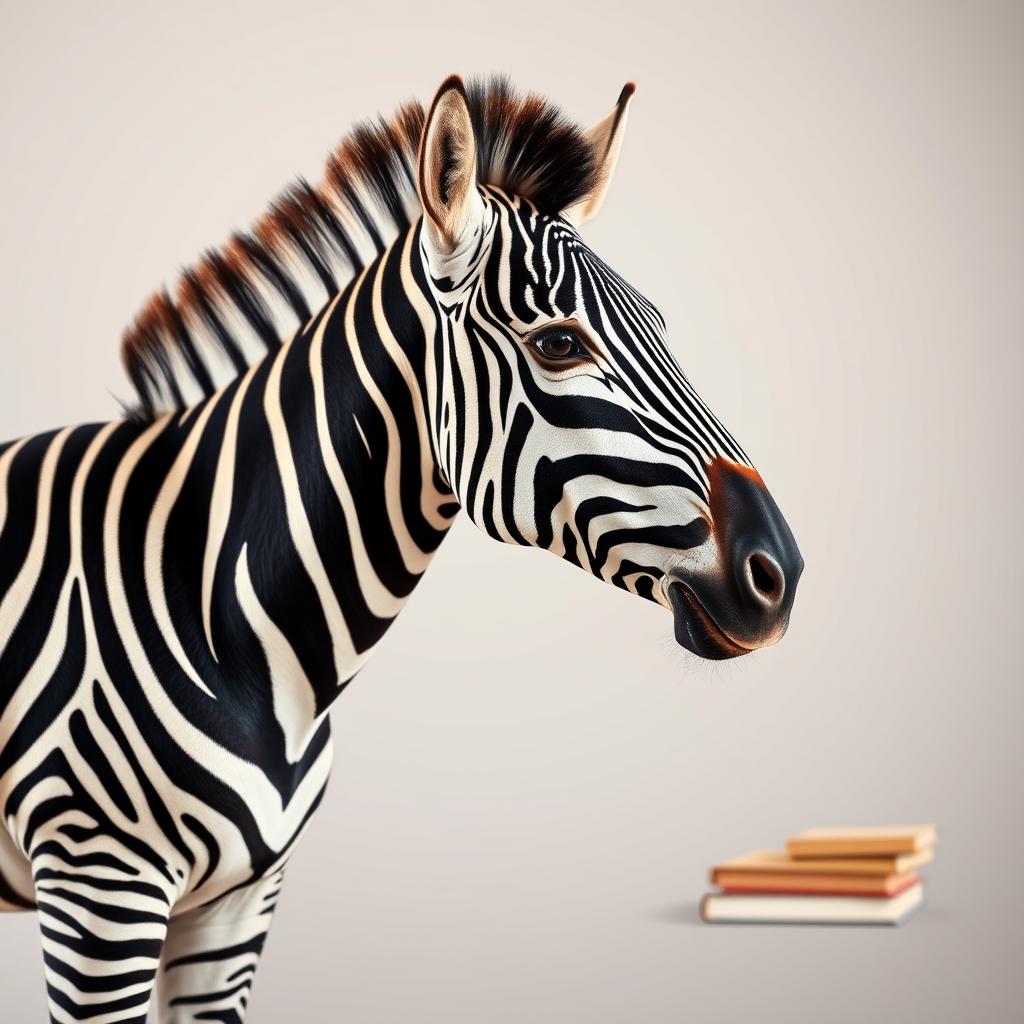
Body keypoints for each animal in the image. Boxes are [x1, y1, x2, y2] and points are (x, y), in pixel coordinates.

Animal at [0, 74, 802, 1022]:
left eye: (660, 327)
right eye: (559, 343)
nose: (782, 574)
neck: (217, 603)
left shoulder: (235, 906)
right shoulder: (98, 890)